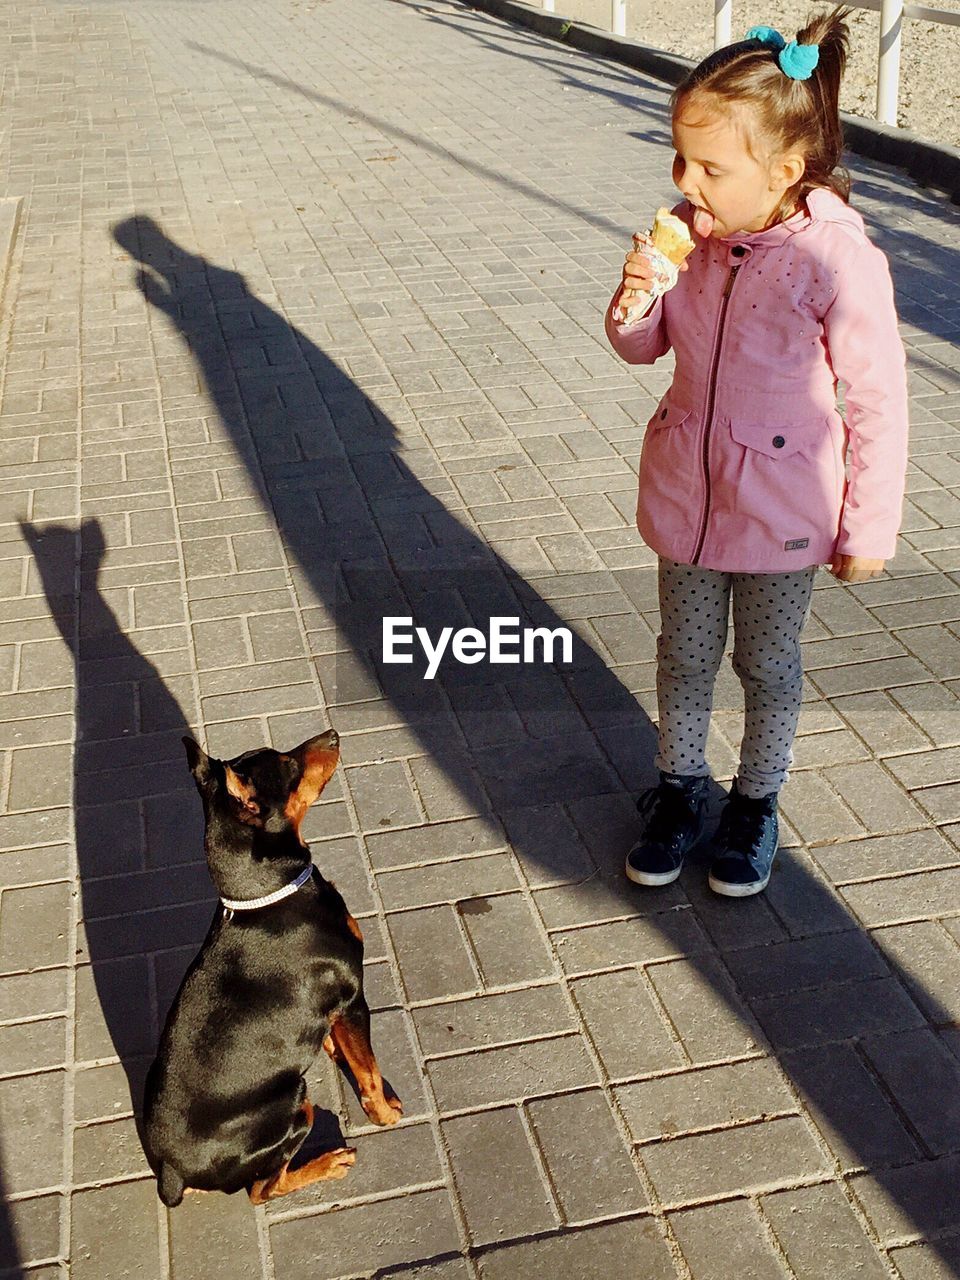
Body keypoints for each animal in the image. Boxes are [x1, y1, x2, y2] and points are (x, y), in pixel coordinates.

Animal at [140, 737, 399, 1203]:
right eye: (289, 766)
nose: (333, 734)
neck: (265, 895)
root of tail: (171, 1172)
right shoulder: (352, 996)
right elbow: (369, 1071)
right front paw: (386, 1113)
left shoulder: (335, 1007)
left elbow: (344, 1045)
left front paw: (332, 1046)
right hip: (295, 1104)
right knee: (263, 1189)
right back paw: (329, 1163)